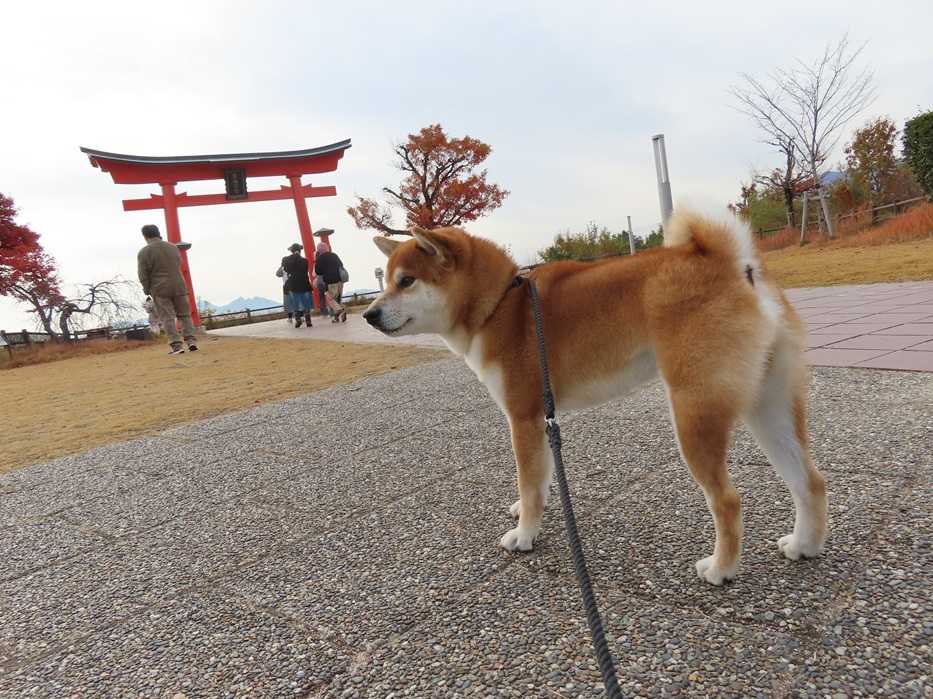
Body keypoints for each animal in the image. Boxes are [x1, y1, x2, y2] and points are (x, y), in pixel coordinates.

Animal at [363, 211, 827, 585]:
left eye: (406, 281)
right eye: (386, 281)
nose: (368, 314)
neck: (500, 306)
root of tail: (736, 265)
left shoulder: (522, 414)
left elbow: (528, 481)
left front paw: (525, 535)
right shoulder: (540, 417)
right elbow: (540, 478)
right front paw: (531, 512)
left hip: (694, 411)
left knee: (728, 501)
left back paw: (720, 569)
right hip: (768, 406)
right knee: (809, 481)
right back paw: (804, 545)